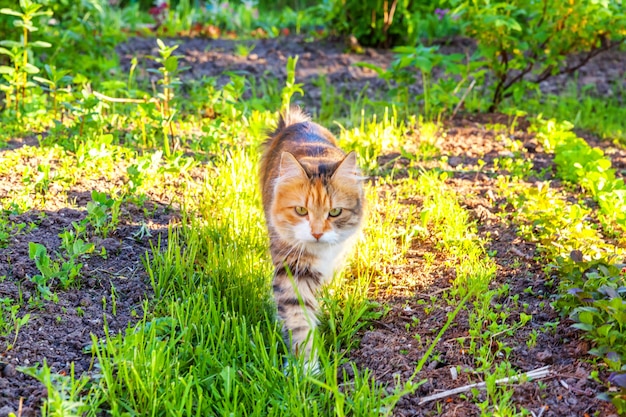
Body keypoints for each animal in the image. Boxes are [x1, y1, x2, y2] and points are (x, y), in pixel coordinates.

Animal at [260, 106, 366, 368]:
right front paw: (305, 367)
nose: (317, 232)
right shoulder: (292, 268)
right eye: (301, 210)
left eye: (335, 212)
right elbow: (299, 321)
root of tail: (296, 123)